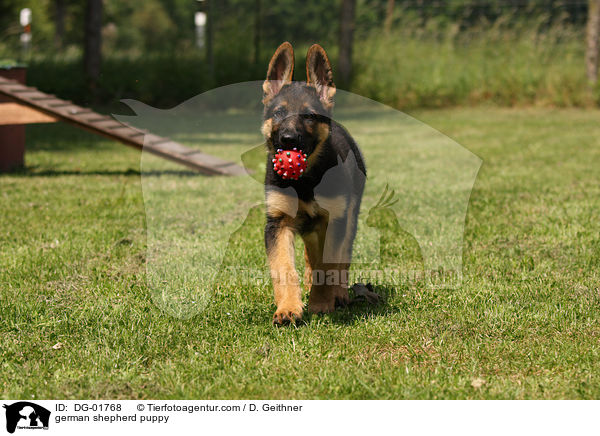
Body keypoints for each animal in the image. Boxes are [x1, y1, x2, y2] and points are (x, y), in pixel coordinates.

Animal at [262, 42, 366, 326]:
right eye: (279, 113)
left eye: (309, 115)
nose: (287, 139)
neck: (304, 182)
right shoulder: (277, 223)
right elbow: (284, 268)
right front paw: (288, 308)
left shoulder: (334, 220)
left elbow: (327, 265)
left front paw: (321, 304)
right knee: (311, 255)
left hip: (349, 219)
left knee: (342, 259)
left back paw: (339, 294)